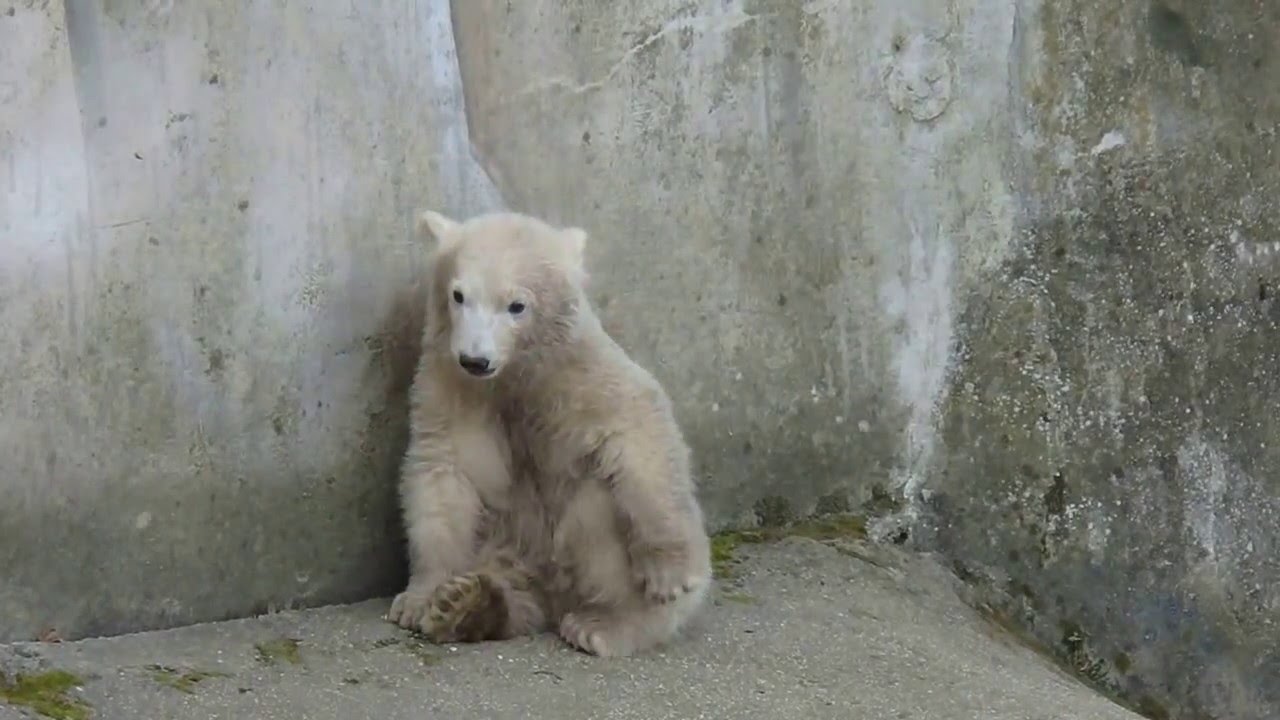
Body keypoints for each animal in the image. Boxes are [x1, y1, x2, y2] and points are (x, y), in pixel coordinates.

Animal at [384, 209, 713, 657]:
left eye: (516, 305)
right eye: (459, 295)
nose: (474, 359)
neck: (515, 374)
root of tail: (550, 594)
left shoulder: (580, 374)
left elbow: (635, 431)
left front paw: (670, 573)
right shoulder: (452, 390)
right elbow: (442, 475)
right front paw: (421, 599)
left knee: (599, 506)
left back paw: (604, 624)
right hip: (504, 542)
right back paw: (469, 604)